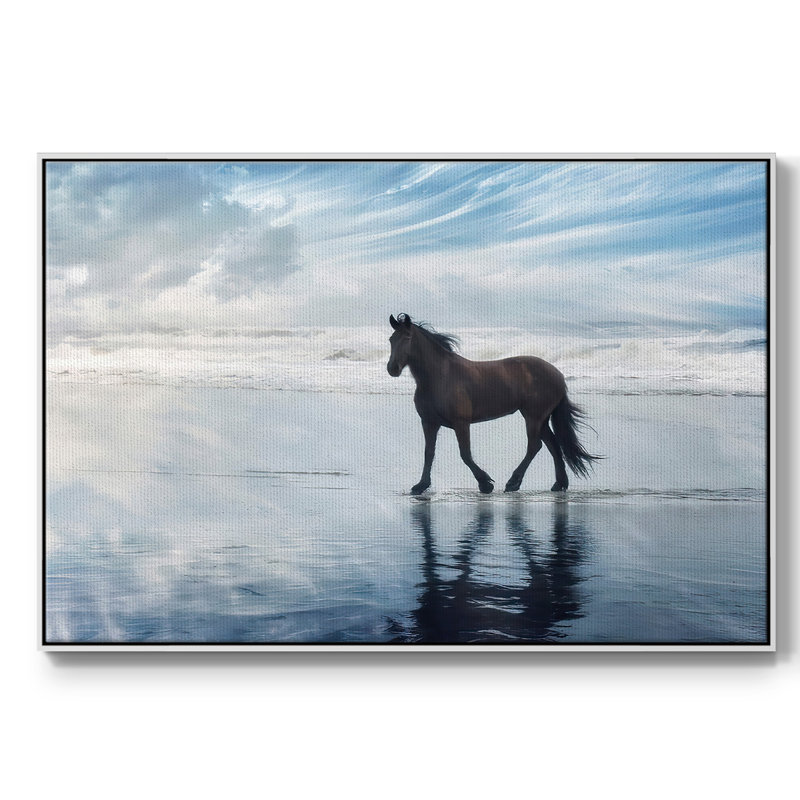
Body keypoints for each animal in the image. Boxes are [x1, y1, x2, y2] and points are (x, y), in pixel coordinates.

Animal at [386, 313, 600, 495]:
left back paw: (513, 483)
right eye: (391, 339)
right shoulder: (429, 423)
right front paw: (421, 485)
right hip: (541, 419)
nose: (392, 369)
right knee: (553, 445)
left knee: (535, 446)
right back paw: (559, 484)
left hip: (533, 417)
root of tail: (558, 375)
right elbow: (429, 453)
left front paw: (485, 483)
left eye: (407, 337)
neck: (440, 377)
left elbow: (465, 454)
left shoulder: (461, 423)